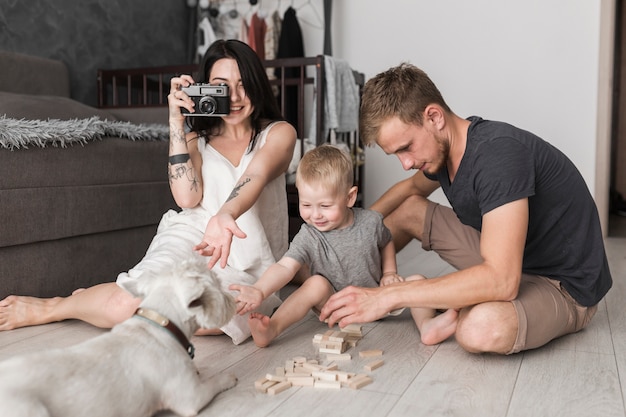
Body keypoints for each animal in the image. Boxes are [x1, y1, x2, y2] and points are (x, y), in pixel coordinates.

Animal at [0, 256, 236, 416]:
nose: (233, 299)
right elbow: (214, 382)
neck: (159, 323)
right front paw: (228, 378)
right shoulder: (191, 397)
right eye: (216, 284)